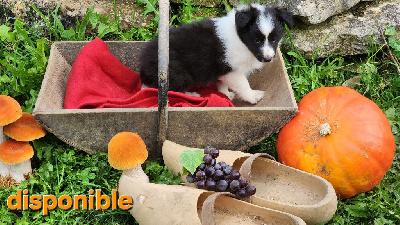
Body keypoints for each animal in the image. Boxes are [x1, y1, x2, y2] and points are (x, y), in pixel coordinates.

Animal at [139, 3, 292, 103]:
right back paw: (192, 95)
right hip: (178, 74)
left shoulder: (222, 72)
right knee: (171, 91)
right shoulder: (233, 72)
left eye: (274, 39)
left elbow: (222, 84)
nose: (268, 58)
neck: (240, 39)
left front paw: (225, 94)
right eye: (257, 40)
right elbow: (244, 84)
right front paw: (253, 96)